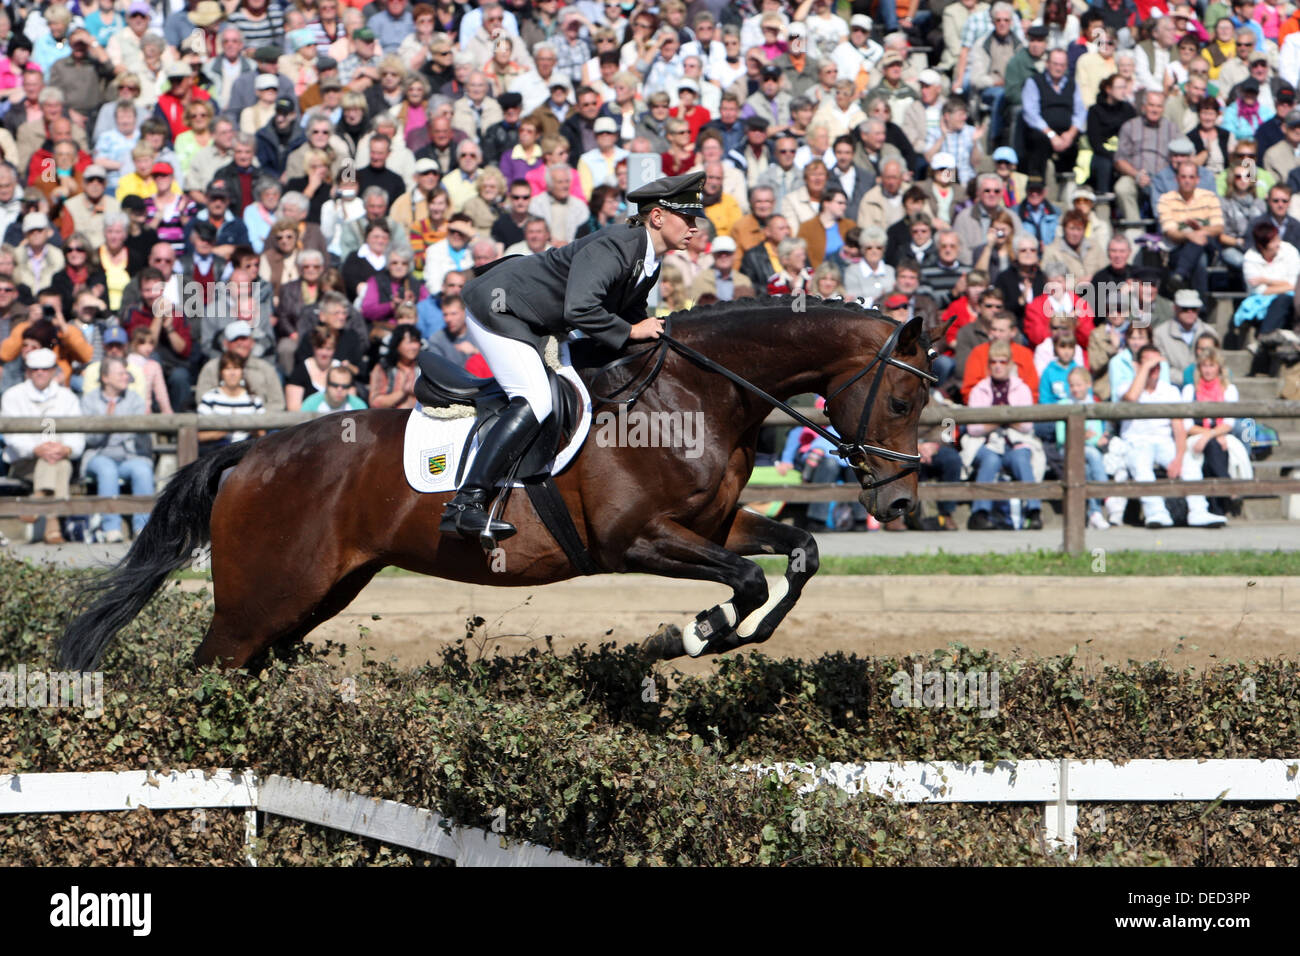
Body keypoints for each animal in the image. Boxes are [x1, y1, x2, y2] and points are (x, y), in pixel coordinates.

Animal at [61, 299, 935, 671]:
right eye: (902, 399)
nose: (899, 503)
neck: (693, 392)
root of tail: (249, 454)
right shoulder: (637, 541)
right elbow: (751, 578)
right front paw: (686, 636)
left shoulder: (713, 525)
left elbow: (798, 554)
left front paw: (721, 635)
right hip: (258, 601)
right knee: (209, 666)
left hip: (313, 596)